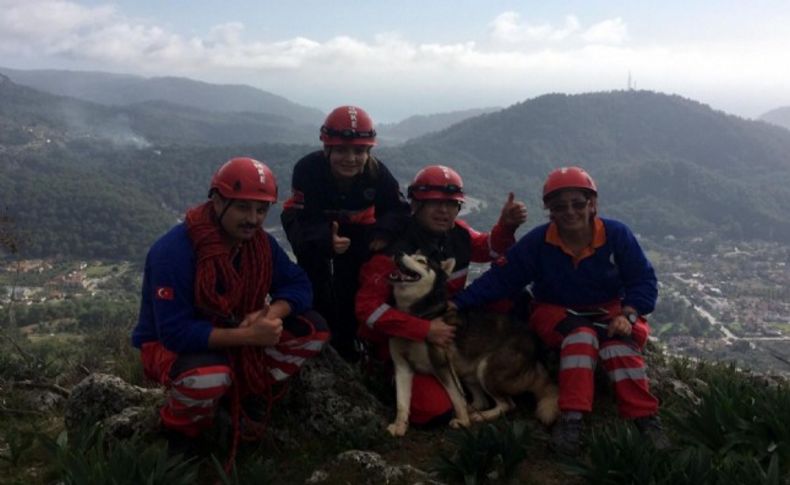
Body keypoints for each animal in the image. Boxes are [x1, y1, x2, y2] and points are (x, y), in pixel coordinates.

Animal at [386, 253, 560, 434]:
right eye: (410, 253)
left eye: (421, 261)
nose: (398, 253)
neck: (419, 317)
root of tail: (535, 356)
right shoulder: (402, 367)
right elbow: (402, 402)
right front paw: (399, 426)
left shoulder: (442, 365)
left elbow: (456, 398)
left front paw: (463, 422)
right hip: (468, 372)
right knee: (480, 401)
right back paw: (473, 411)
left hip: (486, 369)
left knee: (507, 404)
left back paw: (480, 416)